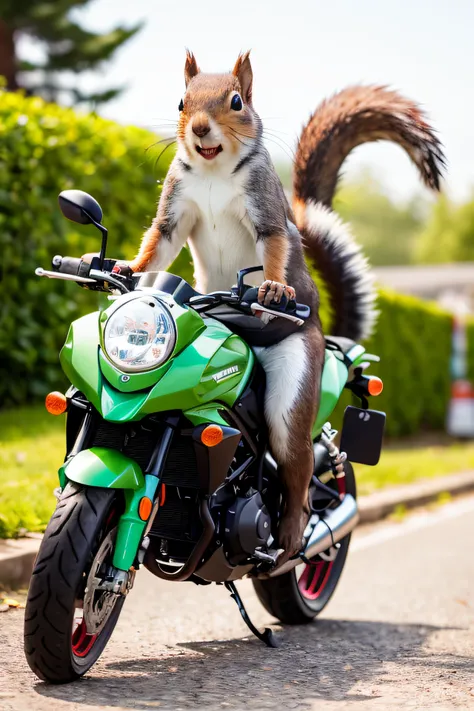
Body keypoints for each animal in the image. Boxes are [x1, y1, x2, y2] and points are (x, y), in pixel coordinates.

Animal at [116, 52, 446, 560]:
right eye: (181, 102)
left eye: (236, 101)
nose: (200, 129)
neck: (213, 172)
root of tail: (333, 341)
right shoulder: (175, 205)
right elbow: (158, 243)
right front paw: (125, 267)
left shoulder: (265, 207)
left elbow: (273, 243)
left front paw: (273, 290)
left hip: (296, 390)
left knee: (300, 464)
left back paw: (292, 537)